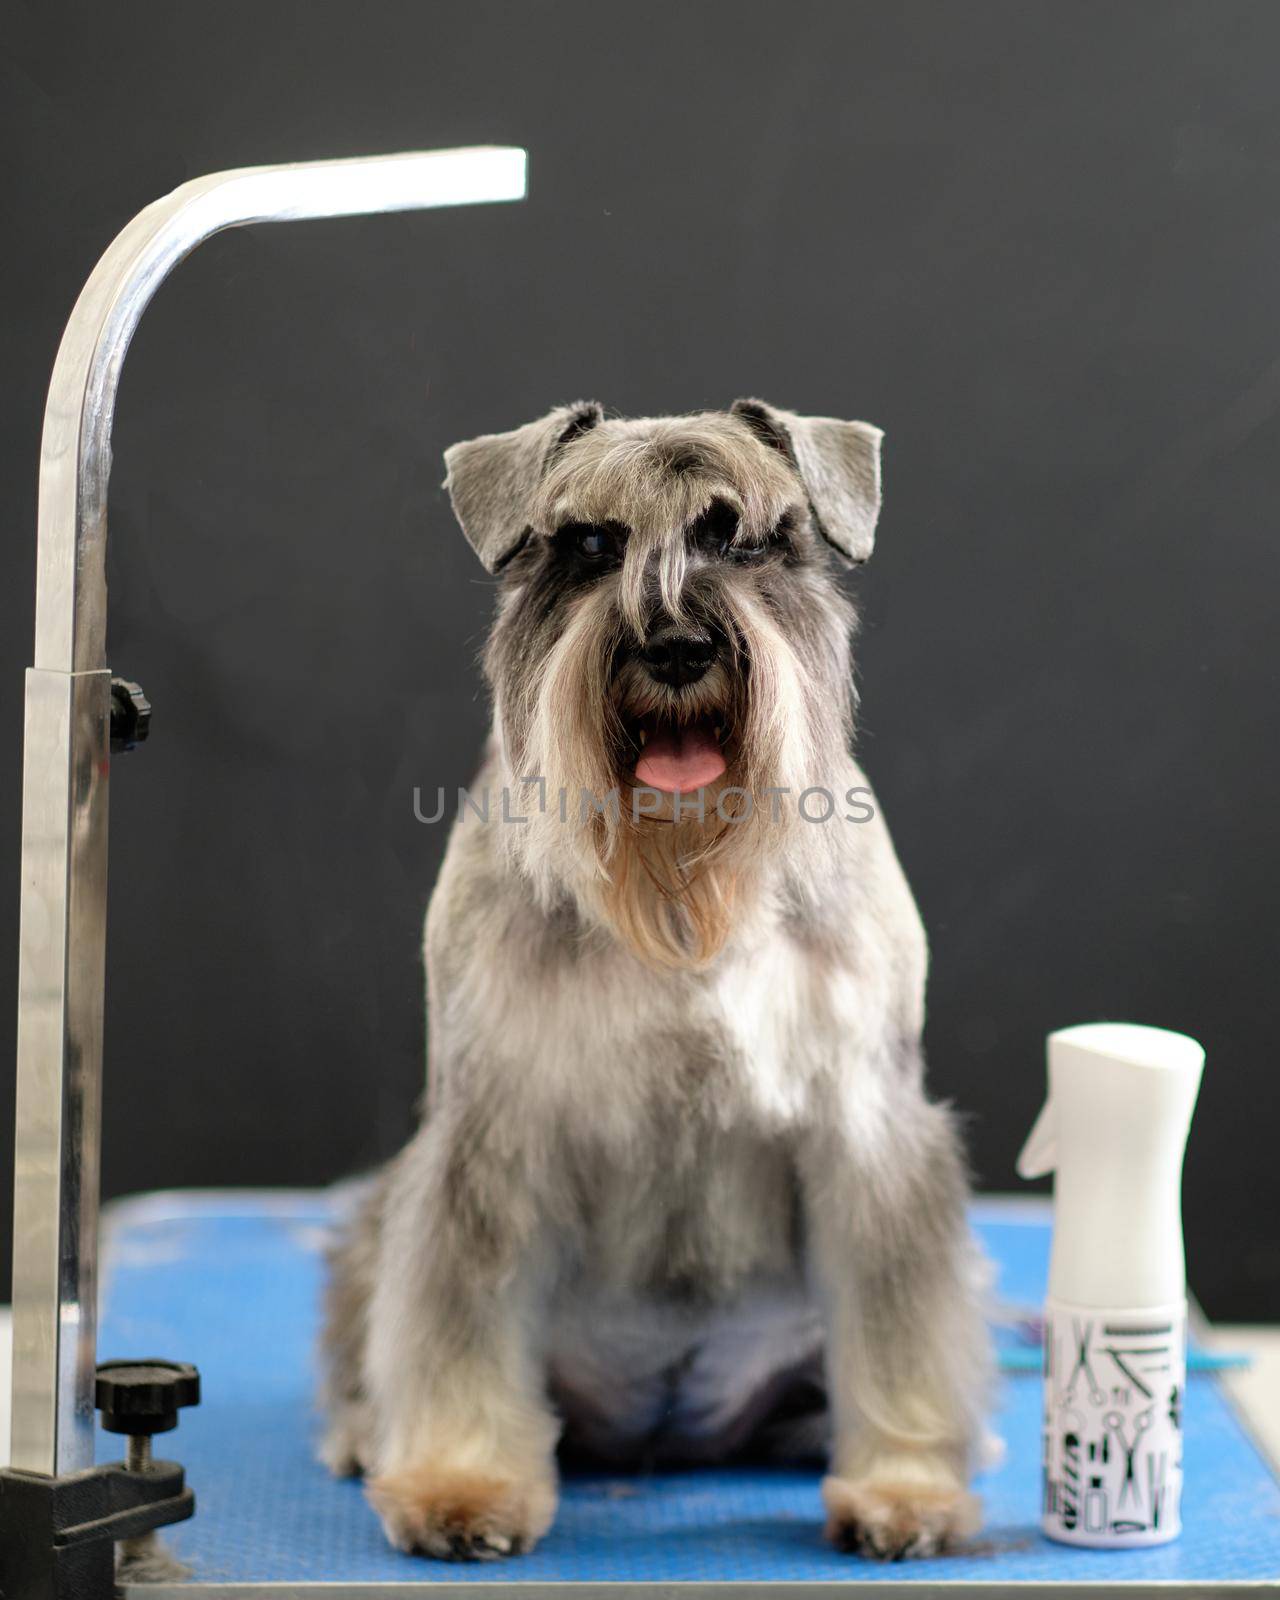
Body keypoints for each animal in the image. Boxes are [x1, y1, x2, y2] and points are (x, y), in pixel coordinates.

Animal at [316, 400, 992, 1561]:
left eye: (745, 538)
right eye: (591, 543)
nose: (675, 645)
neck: (681, 895)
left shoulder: (869, 1129)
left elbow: (900, 1321)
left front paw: (905, 1489)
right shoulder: (490, 1135)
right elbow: (461, 1314)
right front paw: (460, 1482)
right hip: (373, 1229)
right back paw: (368, 1437)